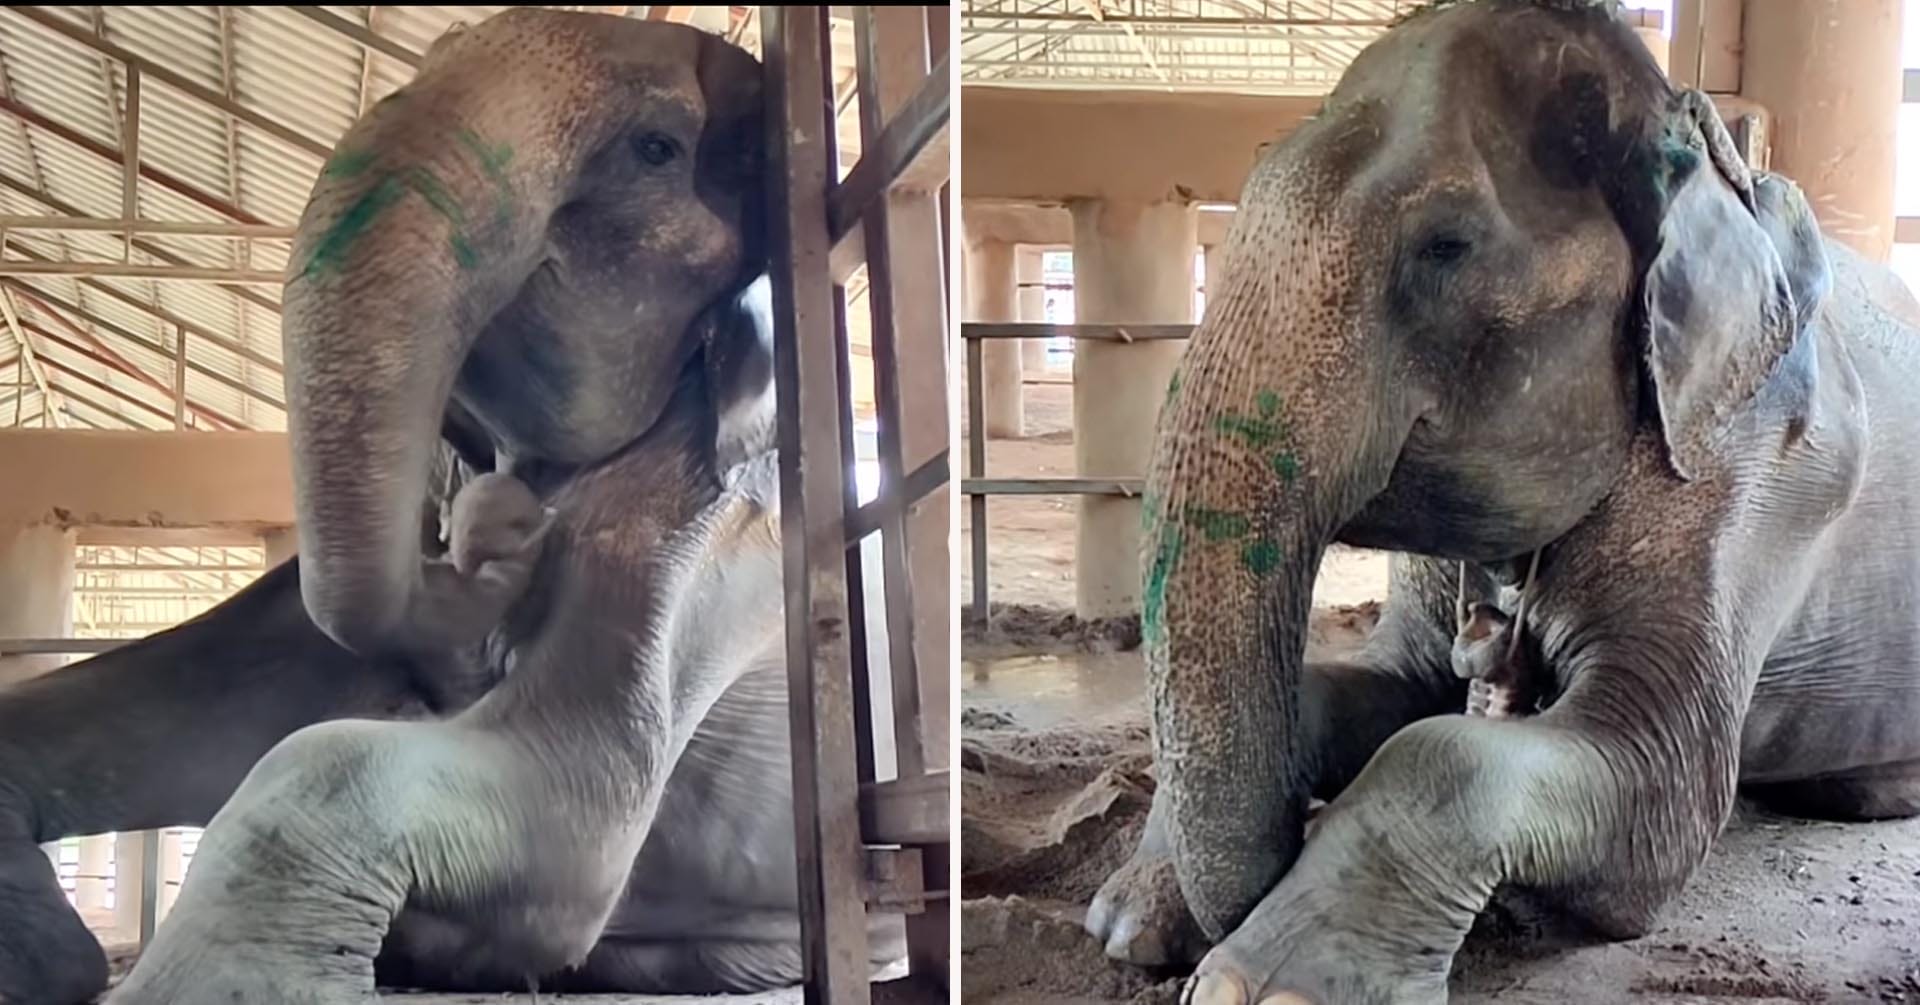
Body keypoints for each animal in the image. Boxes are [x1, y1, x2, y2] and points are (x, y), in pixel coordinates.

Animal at [0, 9, 905, 1003]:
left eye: (656, 149)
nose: (494, 533)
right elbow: (192, 694)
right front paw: (50, 962)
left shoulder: (715, 535)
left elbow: (563, 837)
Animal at [1082, 2, 1920, 1002]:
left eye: (1446, 246)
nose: (1291, 833)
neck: (1716, 167)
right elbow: (1389, 691)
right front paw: (1129, 921)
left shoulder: (1756, 487)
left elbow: (1647, 790)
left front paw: (1264, 985)